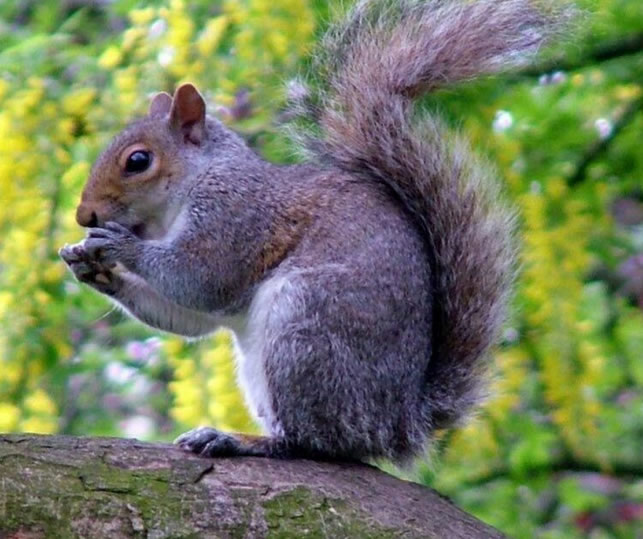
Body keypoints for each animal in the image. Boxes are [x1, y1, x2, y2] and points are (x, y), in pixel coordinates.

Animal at [60, 0, 566, 463]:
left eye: (138, 160)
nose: (85, 216)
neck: (188, 190)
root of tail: (397, 423)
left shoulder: (237, 215)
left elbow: (201, 279)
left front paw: (120, 246)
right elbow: (192, 317)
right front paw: (89, 267)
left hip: (305, 328)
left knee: (315, 442)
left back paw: (243, 440)